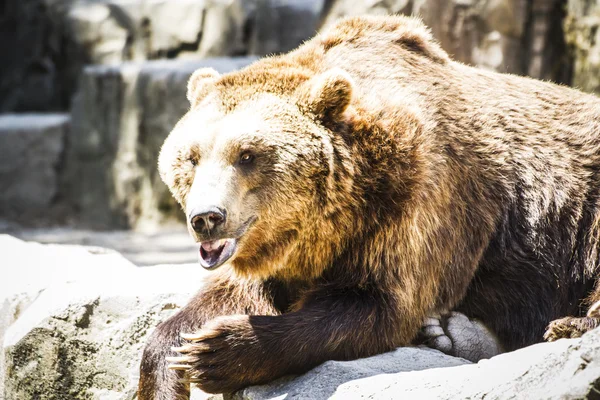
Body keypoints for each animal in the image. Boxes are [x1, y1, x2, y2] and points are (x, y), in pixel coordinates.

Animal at [138, 14, 600, 398]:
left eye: (247, 154)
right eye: (191, 156)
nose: (206, 218)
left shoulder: (414, 205)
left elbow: (374, 307)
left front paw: (218, 350)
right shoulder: (274, 252)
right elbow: (219, 299)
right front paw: (176, 359)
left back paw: (562, 326)